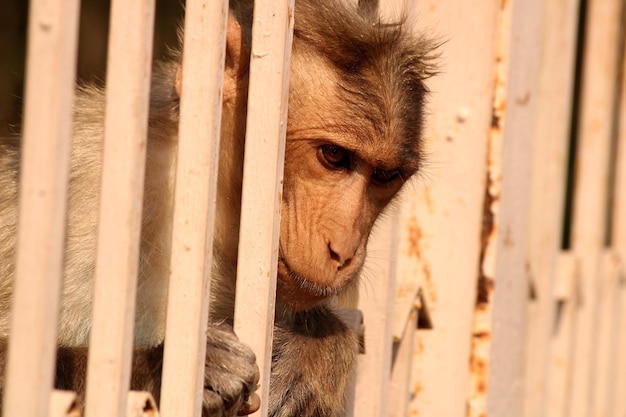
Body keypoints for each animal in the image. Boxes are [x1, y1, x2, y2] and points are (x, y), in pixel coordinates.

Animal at [0, 0, 434, 414]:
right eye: (333, 156)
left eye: (385, 175)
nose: (344, 249)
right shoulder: (83, 190)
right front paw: (174, 368)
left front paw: (317, 345)